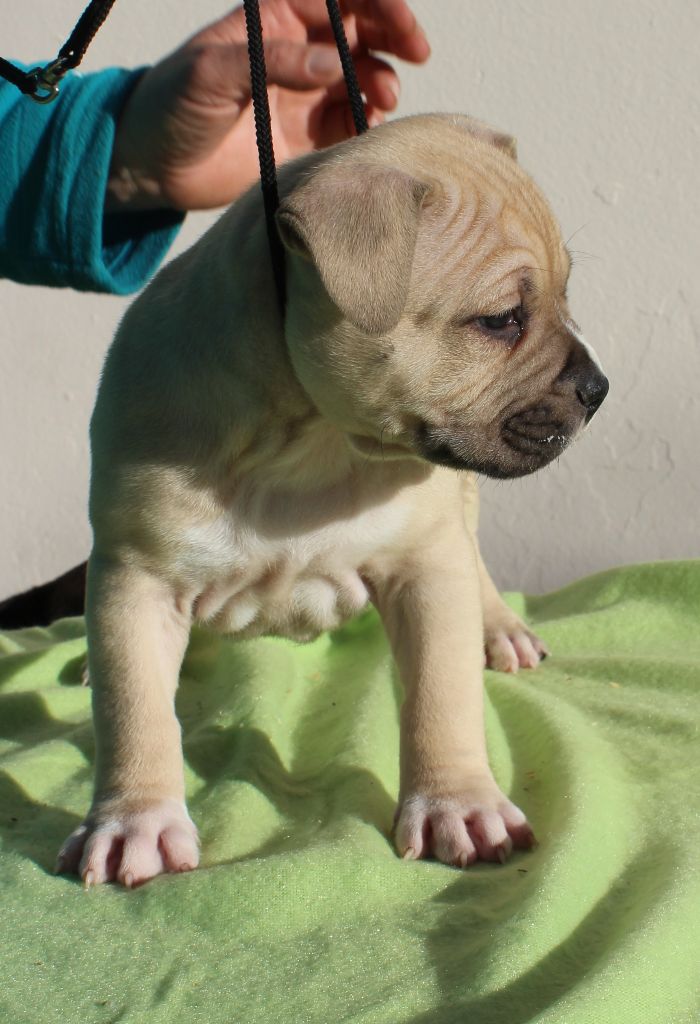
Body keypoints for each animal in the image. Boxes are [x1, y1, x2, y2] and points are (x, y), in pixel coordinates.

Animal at [56, 114, 608, 887]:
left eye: (565, 297)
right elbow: (134, 706)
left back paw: (499, 628)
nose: (598, 388)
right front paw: (135, 819)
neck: (307, 439)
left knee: (474, 560)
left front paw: (459, 803)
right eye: (501, 320)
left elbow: (442, 693)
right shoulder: (138, 575)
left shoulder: (425, 565)